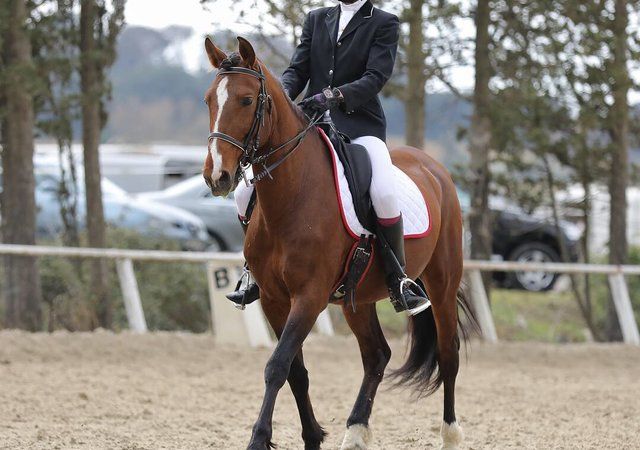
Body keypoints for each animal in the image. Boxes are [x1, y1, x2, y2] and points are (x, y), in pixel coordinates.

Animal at [202, 36, 473, 450]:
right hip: (355, 299)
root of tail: (433, 166)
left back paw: (450, 434)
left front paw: (259, 438)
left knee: (448, 353)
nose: (217, 176)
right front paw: (313, 436)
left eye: (247, 101)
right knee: (377, 355)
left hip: (441, 283)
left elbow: (277, 365)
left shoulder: (309, 297)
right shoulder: (273, 298)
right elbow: (294, 370)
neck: (293, 196)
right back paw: (356, 431)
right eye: (208, 101)